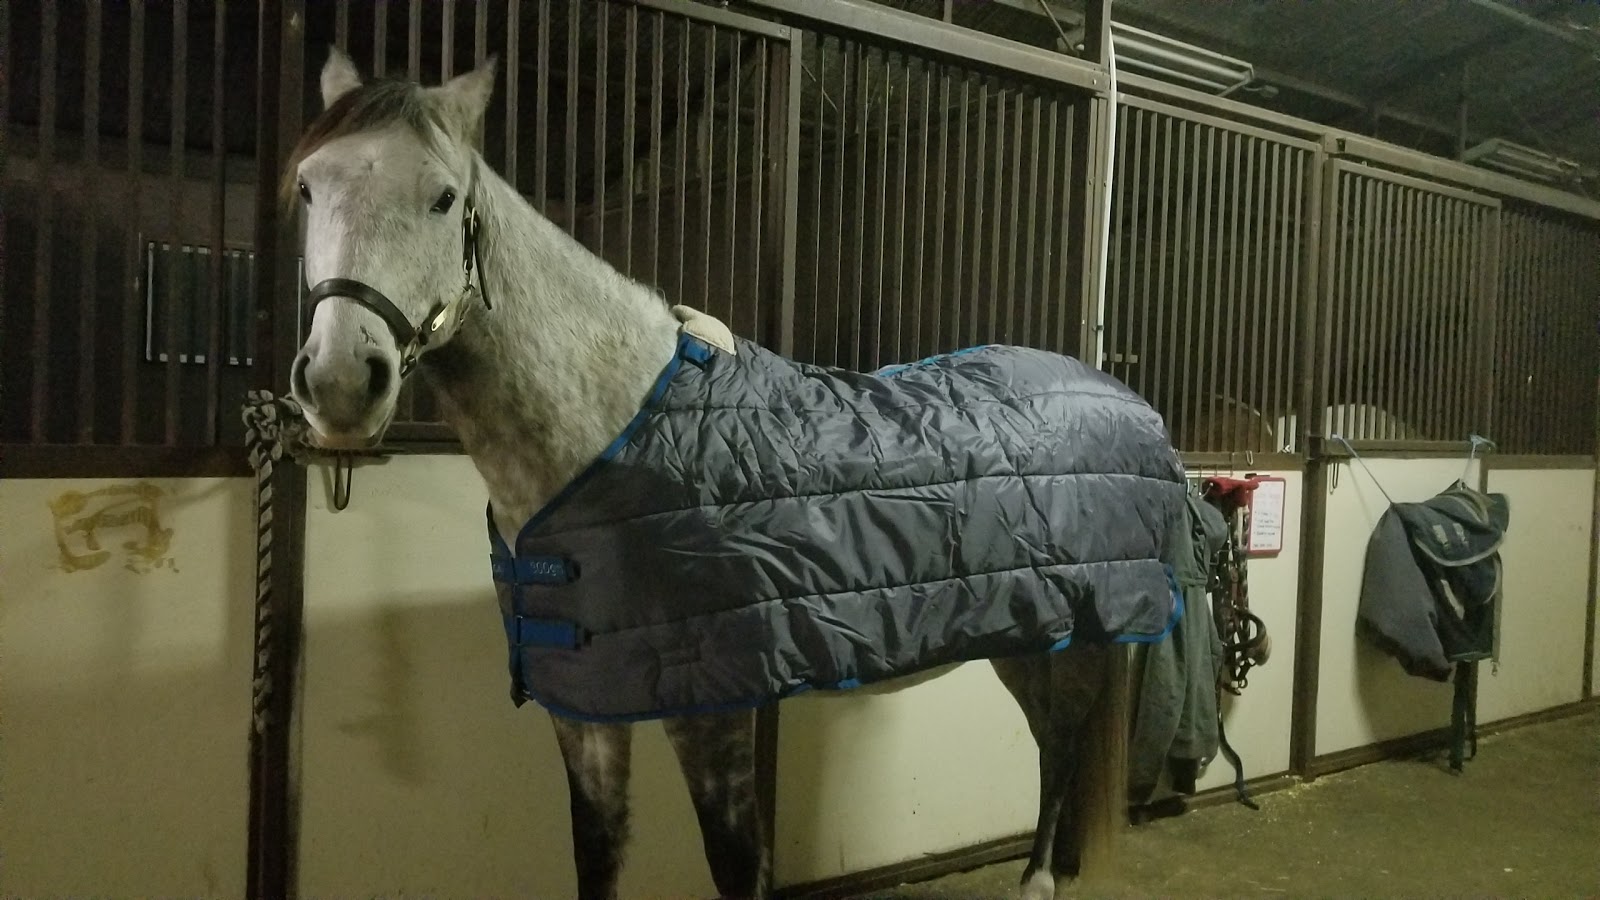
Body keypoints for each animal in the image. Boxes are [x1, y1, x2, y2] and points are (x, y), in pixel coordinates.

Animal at [284, 49, 1183, 900]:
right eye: (305, 187)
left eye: (441, 198)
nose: (340, 383)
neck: (613, 433)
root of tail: (1119, 395)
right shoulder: (586, 701)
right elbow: (595, 851)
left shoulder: (714, 705)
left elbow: (735, 861)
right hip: (1027, 629)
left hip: (1086, 628)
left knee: (1061, 739)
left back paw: (1038, 879)